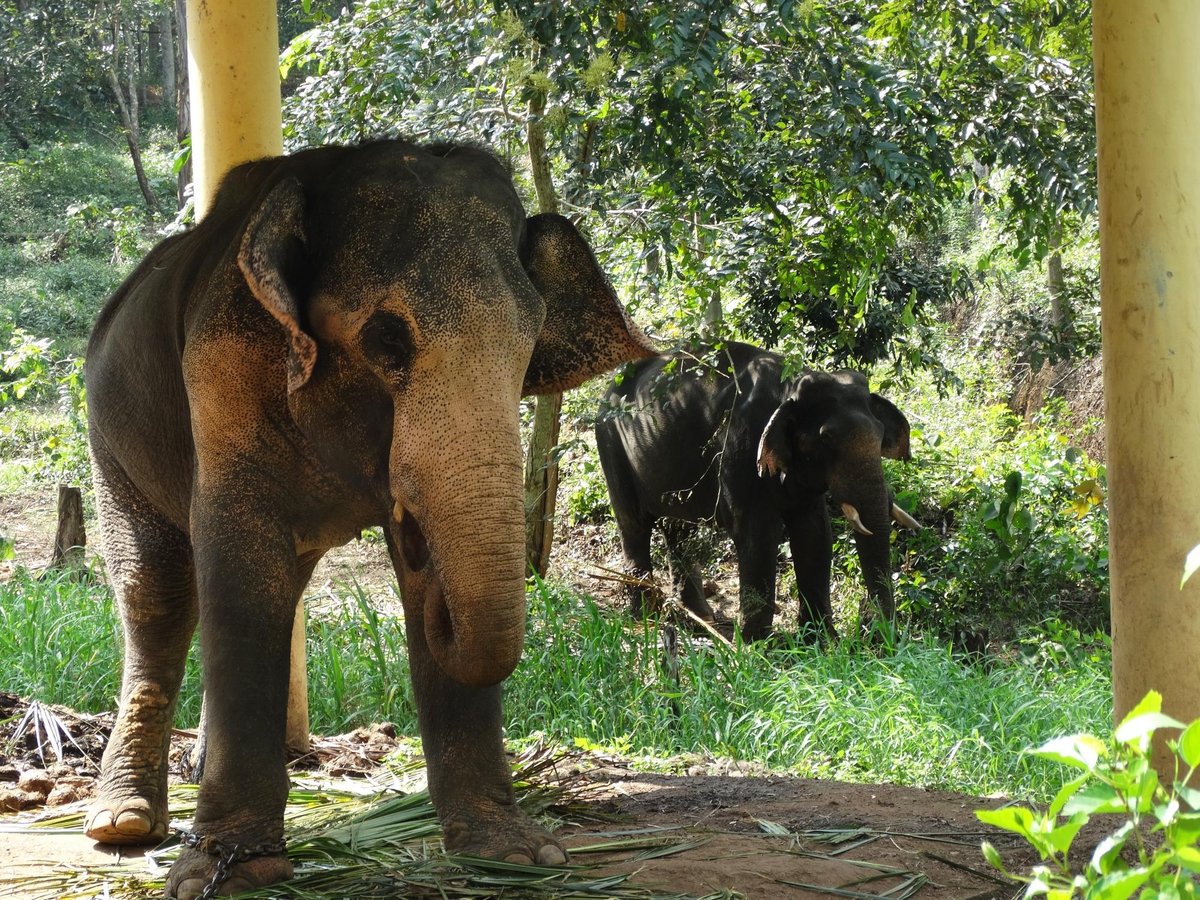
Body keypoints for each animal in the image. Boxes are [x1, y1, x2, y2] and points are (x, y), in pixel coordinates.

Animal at [84, 137, 657, 897]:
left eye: (529, 346)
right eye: (387, 342)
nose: (412, 535)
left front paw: (514, 856)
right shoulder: (223, 369)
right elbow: (240, 570)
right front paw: (231, 873)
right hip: (107, 436)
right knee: (157, 595)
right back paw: (122, 824)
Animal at [592, 340, 916, 643]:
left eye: (880, 434)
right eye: (827, 438)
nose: (873, 630)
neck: (791, 384)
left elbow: (815, 534)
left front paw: (820, 642)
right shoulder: (741, 447)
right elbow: (757, 533)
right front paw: (756, 644)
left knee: (679, 529)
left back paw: (700, 619)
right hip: (610, 442)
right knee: (634, 524)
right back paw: (644, 616)